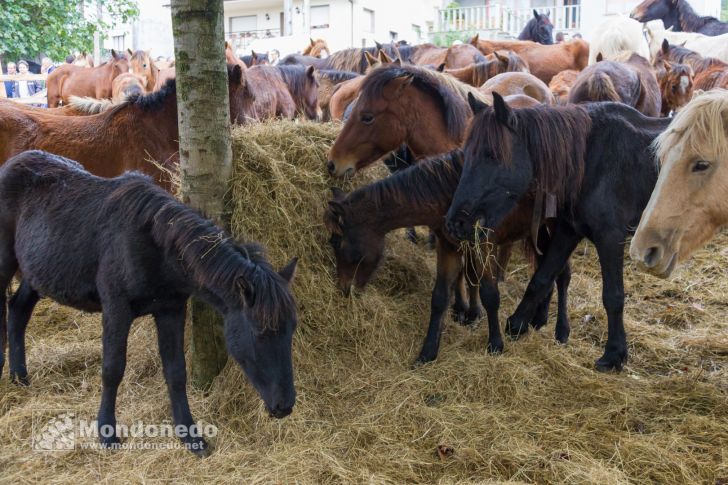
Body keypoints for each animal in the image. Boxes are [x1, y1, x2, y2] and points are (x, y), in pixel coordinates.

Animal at [0, 150, 298, 454]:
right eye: (260, 333)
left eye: (291, 330)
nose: (284, 406)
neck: (156, 248)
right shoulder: (116, 309)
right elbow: (112, 369)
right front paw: (107, 433)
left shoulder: (171, 310)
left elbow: (176, 371)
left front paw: (190, 435)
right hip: (6, 263)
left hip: (38, 272)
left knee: (19, 311)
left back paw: (19, 377)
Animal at [444, 93, 672, 370]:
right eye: (467, 154)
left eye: (493, 155)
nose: (456, 223)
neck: (591, 159)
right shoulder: (568, 230)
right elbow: (541, 277)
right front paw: (518, 323)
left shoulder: (610, 237)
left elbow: (613, 296)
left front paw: (615, 353)